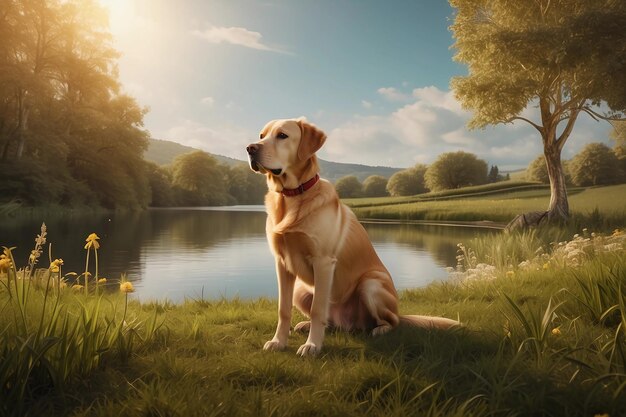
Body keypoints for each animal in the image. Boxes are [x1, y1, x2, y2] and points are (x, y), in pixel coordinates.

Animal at [245, 118, 458, 356]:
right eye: (262, 135)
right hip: (302, 290)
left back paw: (379, 329)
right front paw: (278, 342)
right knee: (329, 321)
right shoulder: (282, 263)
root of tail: (348, 325)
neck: (292, 196)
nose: (250, 148)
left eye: (282, 135)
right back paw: (307, 325)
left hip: (371, 284)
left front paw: (312, 346)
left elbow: (318, 309)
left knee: (392, 321)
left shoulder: (323, 261)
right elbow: (283, 309)